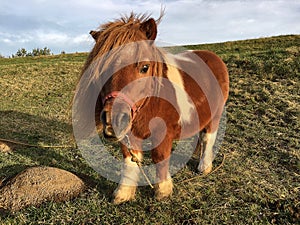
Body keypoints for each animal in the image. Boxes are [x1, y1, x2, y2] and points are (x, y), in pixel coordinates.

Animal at [74, 12, 229, 204]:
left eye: (144, 67)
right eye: (102, 70)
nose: (112, 119)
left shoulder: (163, 134)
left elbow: (160, 157)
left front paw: (163, 190)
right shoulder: (129, 133)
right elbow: (130, 160)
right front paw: (124, 192)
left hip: (215, 114)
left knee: (208, 138)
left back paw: (204, 166)